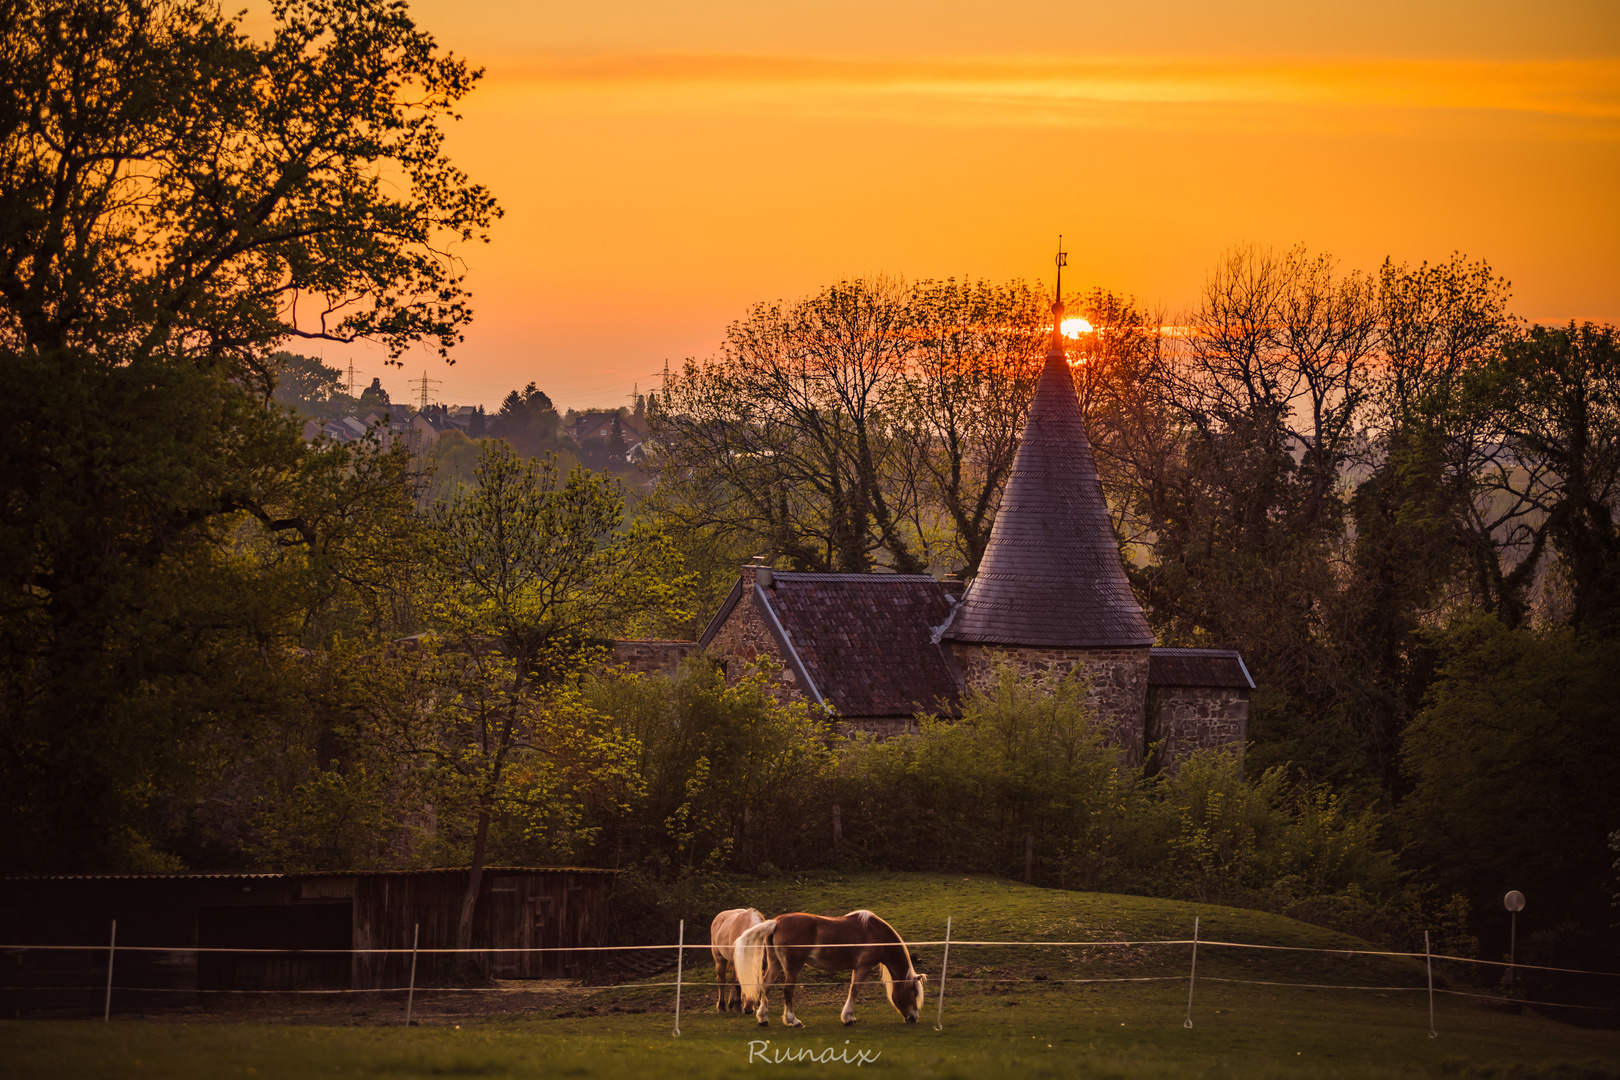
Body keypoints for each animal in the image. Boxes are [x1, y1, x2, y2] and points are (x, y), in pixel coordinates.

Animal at [735, 913, 926, 1029]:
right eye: (914, 992)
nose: (914, 1017)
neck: (877, 933)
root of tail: (776, 922)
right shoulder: (863, 967)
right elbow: (854, 990)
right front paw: (848, 1018)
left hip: (775, 964)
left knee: (765, 987)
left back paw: (763, 1018)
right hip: (793, 967)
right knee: (788, 991)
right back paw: (793, 1020)